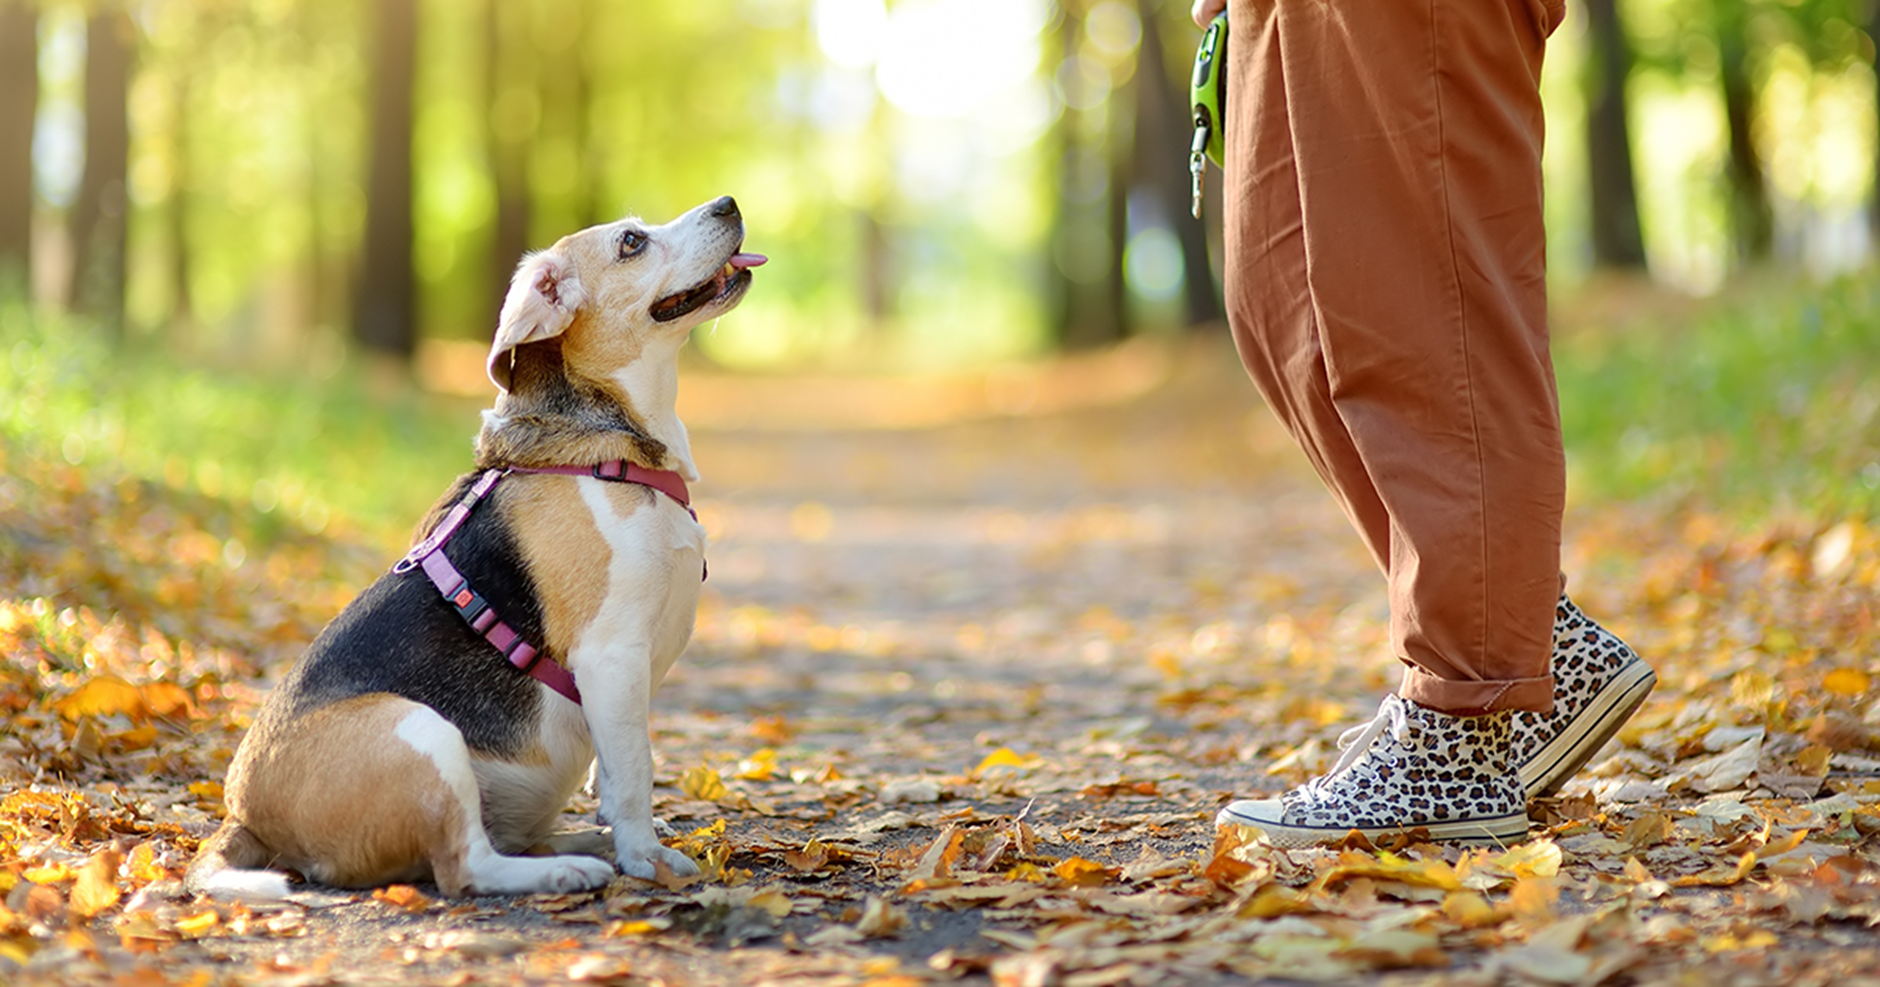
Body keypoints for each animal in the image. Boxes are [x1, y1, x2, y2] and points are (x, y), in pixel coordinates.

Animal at [177, 196, 763, 894]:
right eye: (630, 243)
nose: (727, 203)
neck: (610, 455)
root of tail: (243, 817)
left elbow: (616, 767)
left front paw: (628, 838)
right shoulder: (613, 653)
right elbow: (634, 771)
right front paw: (645, 854)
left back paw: (581, 846)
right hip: (420, 730)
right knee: (466, 868)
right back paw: (569, 869)